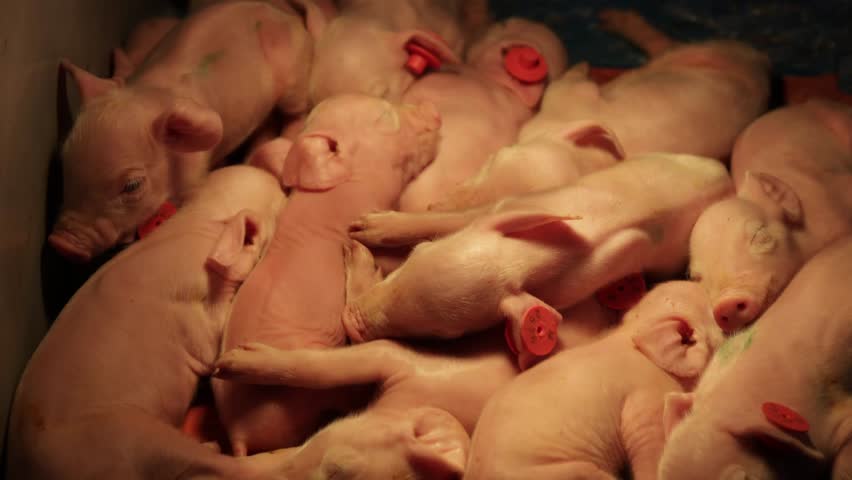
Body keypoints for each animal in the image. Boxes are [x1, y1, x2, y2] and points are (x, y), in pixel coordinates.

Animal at [7, 166, 290, 479]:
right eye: (281, 201)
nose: (286, 186)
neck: (201, 219)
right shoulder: (197, 320)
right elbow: (212, 348)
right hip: (133, 437)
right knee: (234, 468)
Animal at [50, 1, 320, 263]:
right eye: (65, 163)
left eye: (132, 185)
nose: (61, 244)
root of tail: (288, 15)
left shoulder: (195, 170)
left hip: (294, 80)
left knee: (297, 112)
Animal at [346, 153, 733, 366]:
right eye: (415, 256)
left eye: (442, 335)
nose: (350, 323)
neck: (531, 258)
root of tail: (726, 175)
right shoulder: (506, 208)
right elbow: (446, 220)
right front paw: (360, 228)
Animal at [431, 9, 770, 212]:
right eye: (491, 161)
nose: (434, 206)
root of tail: (762, 64)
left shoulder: (567, 99)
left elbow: (570, 82)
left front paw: (581, 65)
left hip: (700, 51)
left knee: (666, 44)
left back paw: (612, 19)